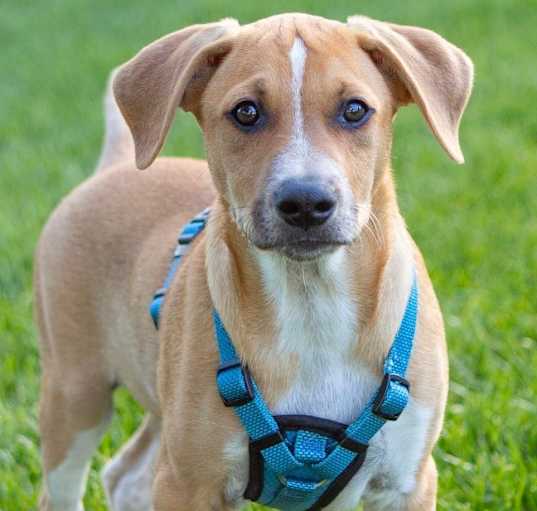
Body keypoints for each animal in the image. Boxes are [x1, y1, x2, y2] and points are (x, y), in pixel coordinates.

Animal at [33, 12, 472, 511]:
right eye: (246, 112)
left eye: (355, 110)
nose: (306, 202)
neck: (311, 302)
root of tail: (114, 168)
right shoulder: (188, 483)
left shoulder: (407, 481)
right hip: (75, 391)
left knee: (126, 473)